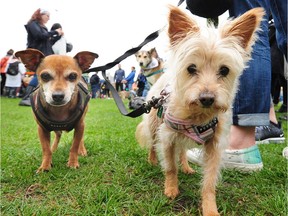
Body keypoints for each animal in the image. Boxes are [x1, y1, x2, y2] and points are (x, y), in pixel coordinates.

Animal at [136, 5, 264, 215]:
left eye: (224, 70)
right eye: (191, 68)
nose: (207, 98)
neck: (197, 117)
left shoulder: (214, 146)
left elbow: (209, 183)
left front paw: (210, 208)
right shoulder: (167, 137)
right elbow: (170, 167)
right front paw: (171, 189)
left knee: (181, 151)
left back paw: (186, 166)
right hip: (155, 125)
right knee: (154, 144)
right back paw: (153, 160)